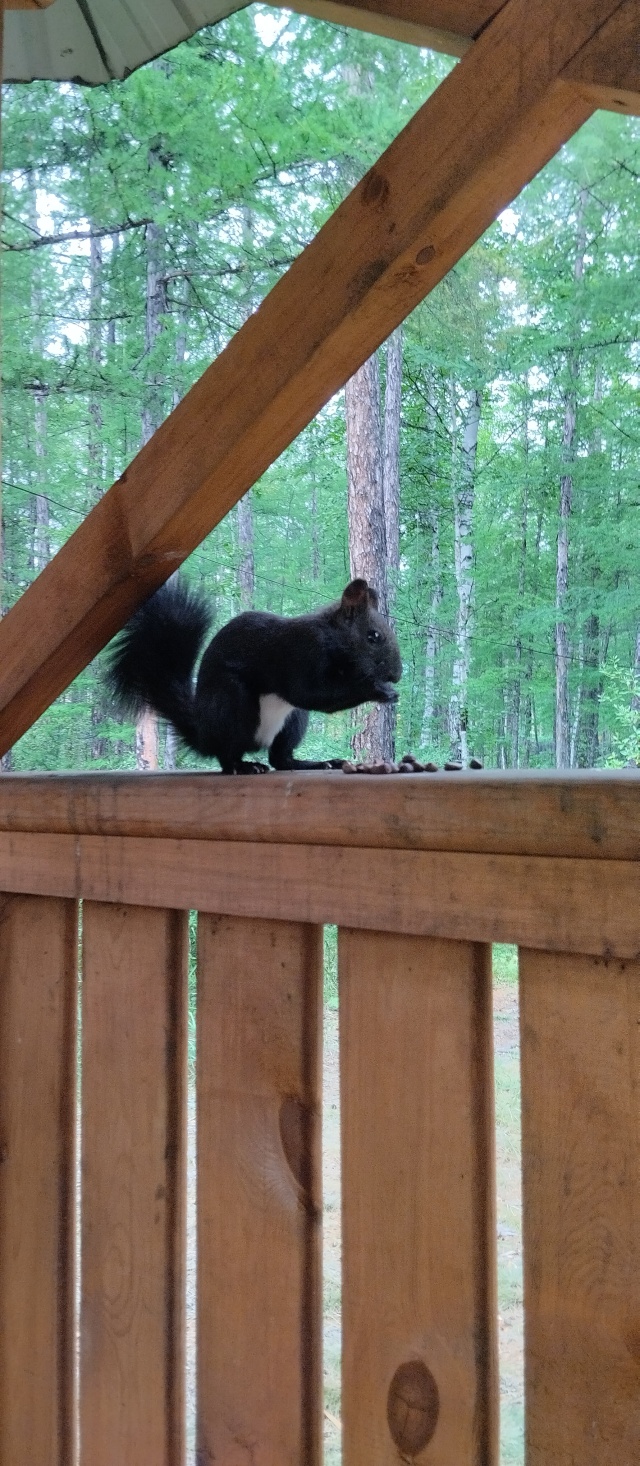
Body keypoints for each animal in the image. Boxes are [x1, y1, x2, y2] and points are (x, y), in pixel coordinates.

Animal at [109, 574, 398, 779]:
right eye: (373, 636)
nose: (396, 676)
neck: (330, 638)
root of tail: (203, 732)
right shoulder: (302, 653)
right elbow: (311, 693)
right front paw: (377, 689)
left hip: (293, 720)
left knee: (281, 759)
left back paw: (319, 763)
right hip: (234, 705)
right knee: (226, 754)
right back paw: (243, 766)